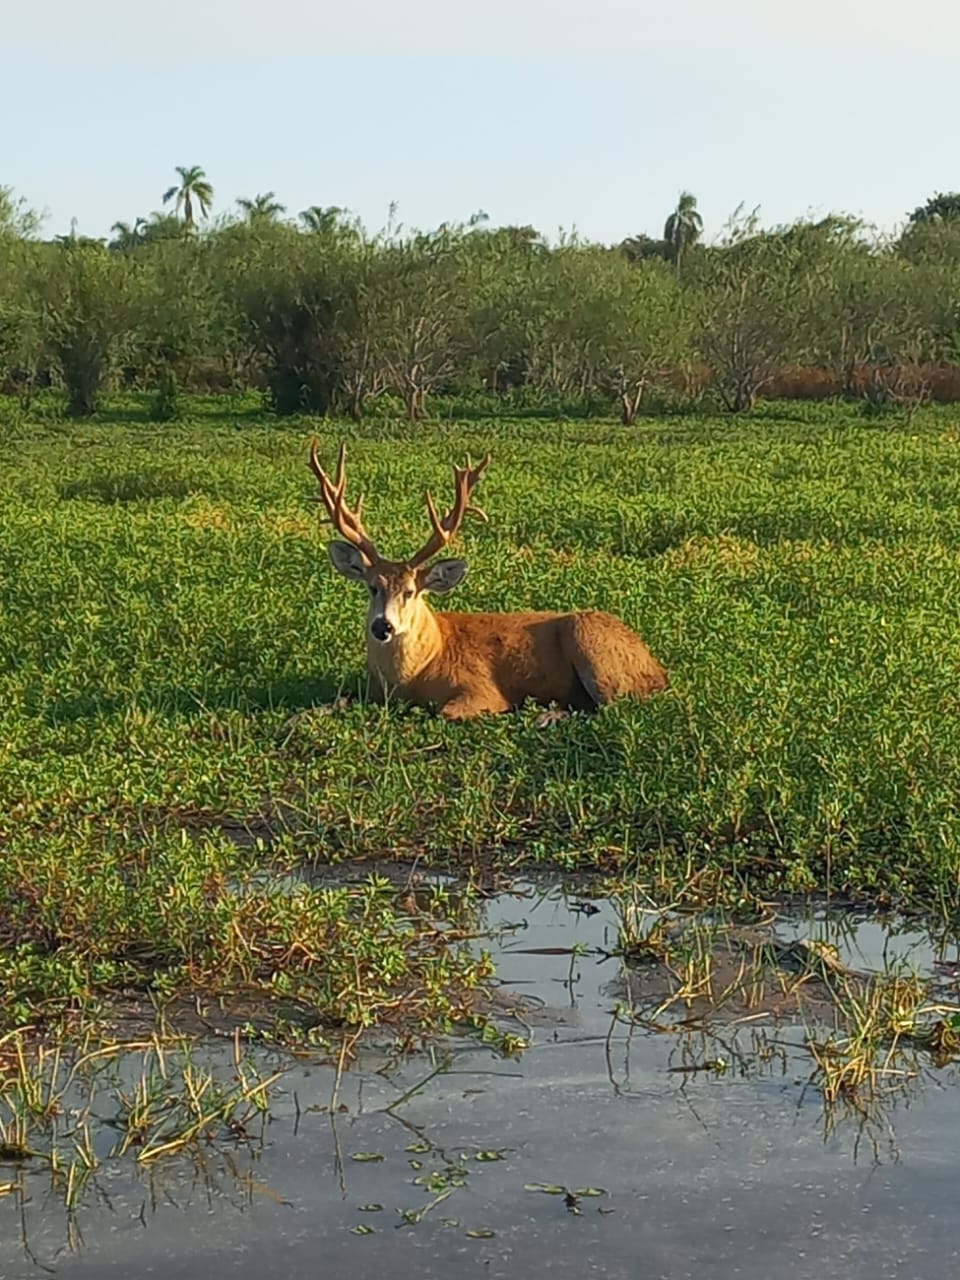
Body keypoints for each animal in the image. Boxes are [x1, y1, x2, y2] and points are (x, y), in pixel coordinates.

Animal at [309, 442, 668, 721]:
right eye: (372, 587)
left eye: (410, 592)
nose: (382, 626)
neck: (421, 667)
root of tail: (659, 671)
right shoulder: (368, 689)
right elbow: (332, 701)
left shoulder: (480, 687)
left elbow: (444, 711)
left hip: (591, 641)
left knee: (613, 706)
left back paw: (545, 714)